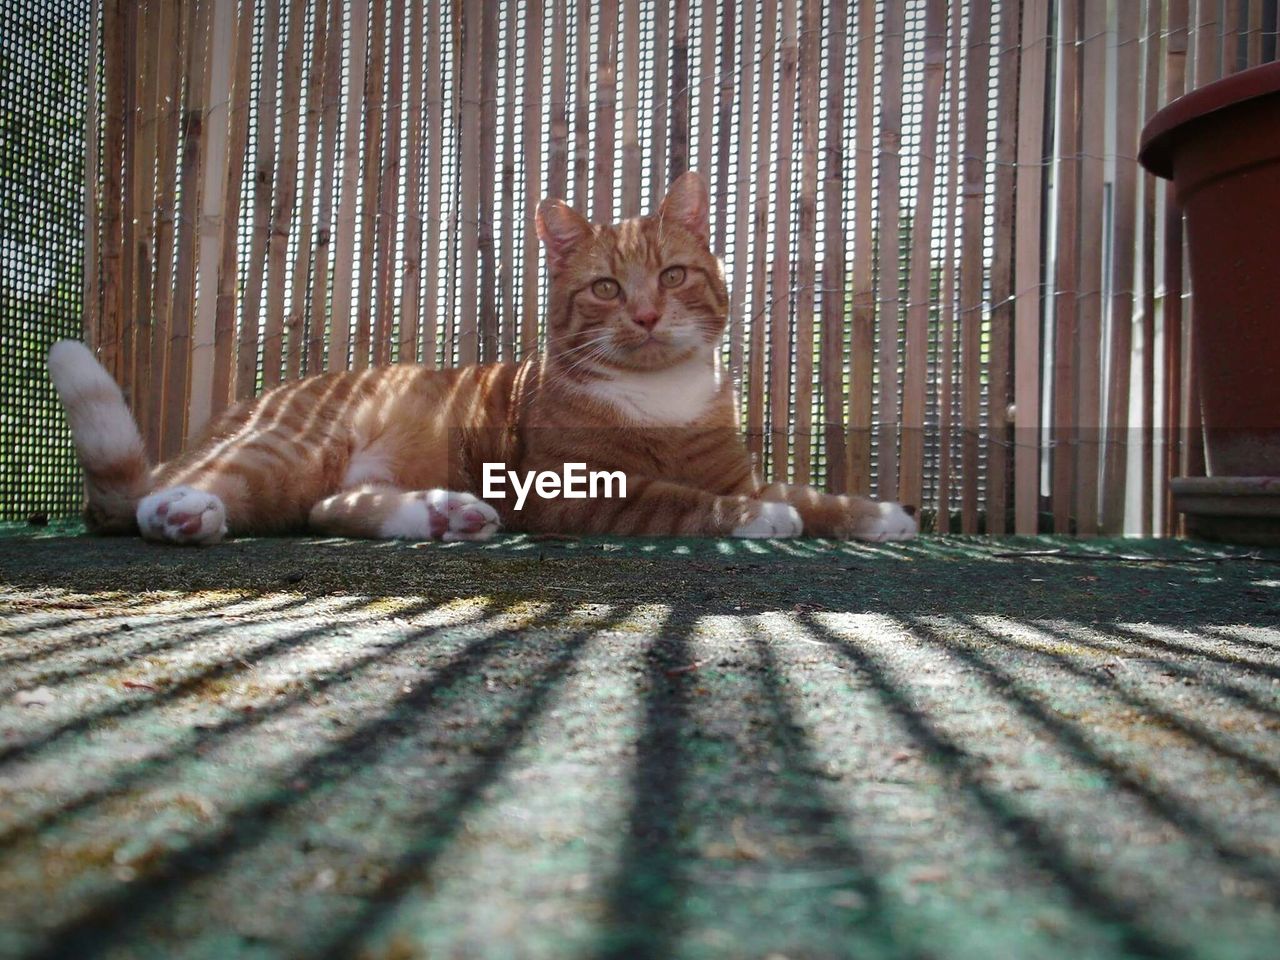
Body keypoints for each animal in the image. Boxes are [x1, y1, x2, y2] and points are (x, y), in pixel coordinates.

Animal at [47, 175, 911, 545]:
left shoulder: (737, 470)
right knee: (170, 499)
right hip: (285, 449)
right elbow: (682, 499)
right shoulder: (577, 493)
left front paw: (878, 513)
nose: (644, 313)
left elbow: (808, 491)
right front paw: (763, 521)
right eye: (605, 287)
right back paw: (179, 512)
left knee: (326, 509)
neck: (660, 395)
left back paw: (441, 514)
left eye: (672, 275)